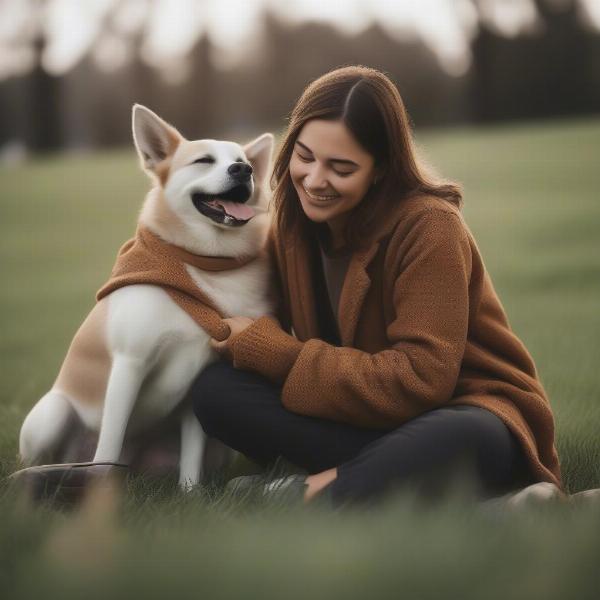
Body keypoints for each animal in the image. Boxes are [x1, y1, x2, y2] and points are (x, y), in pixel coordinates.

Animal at [18, 103, 276, 488]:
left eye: (243, 161)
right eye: (204, 160)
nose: (243, 170)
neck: (202, 264)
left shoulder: (197, 384)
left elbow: (191, 459)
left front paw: (191, 495)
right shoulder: (130, 362)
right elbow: (108, 447)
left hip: (214, 451)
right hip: (53, 413)